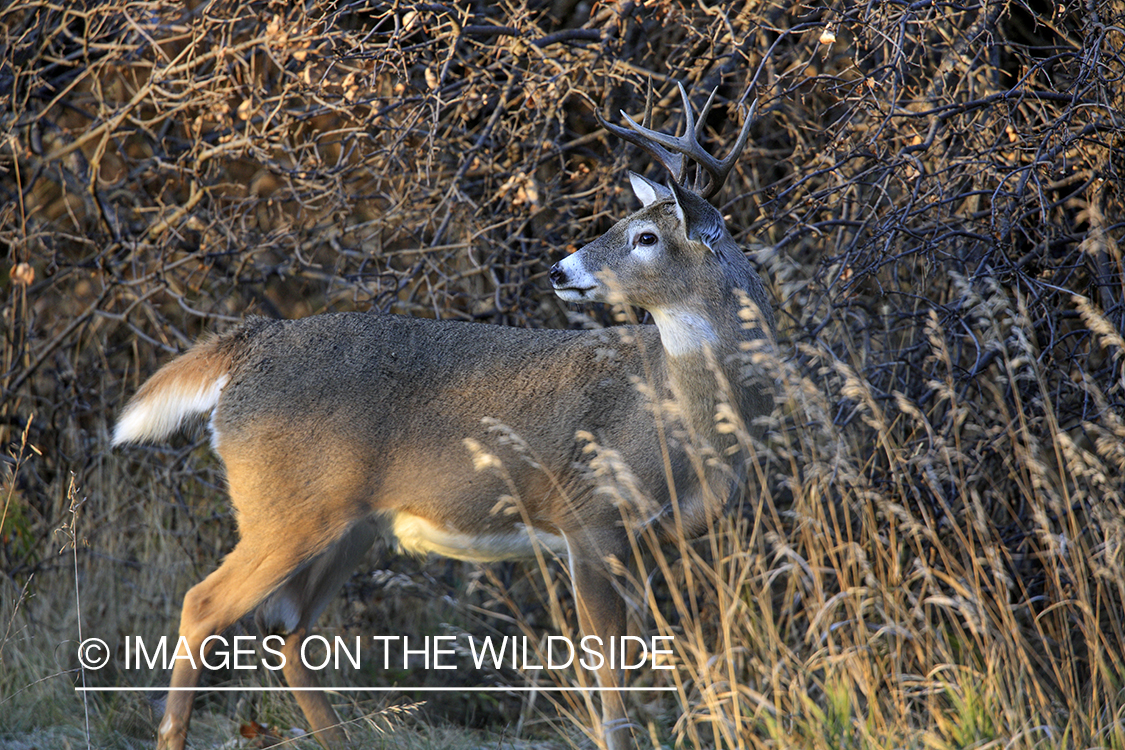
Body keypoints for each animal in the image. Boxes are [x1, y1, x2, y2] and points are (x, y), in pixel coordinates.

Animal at [111, 82, 774, 750]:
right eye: (621, 224)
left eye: (646, 237)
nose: (559, 271)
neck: (678, 417)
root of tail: (248, 345)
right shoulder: (590, 517)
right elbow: (610, 684)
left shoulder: (650, 542)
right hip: (286, 507)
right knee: (205, 605)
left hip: (348, 524)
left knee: (287, 629)